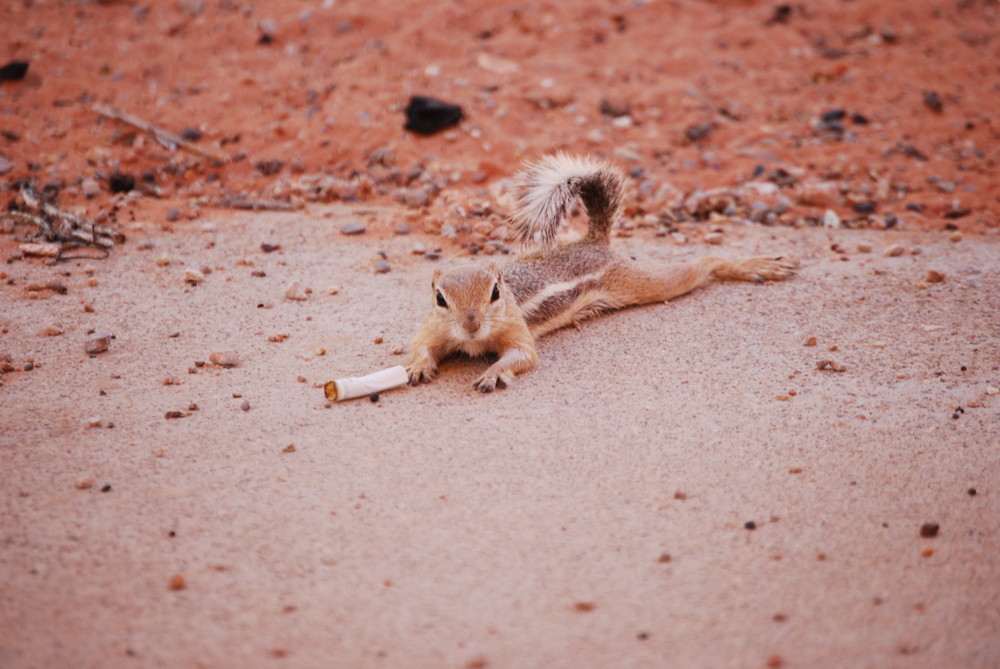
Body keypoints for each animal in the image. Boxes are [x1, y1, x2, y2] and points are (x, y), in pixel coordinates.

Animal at [406, 153, 796, 392]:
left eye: (495, 293)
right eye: (440, 299)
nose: (471, 325)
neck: (473, 340)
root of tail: (595, 239)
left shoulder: (517, 331)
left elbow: (524, 356)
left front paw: (493, 372)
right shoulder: (432, 328)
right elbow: (421, 346)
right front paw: (416, 367)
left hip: (645, 282)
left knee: (701, 266)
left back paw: (752, 265)